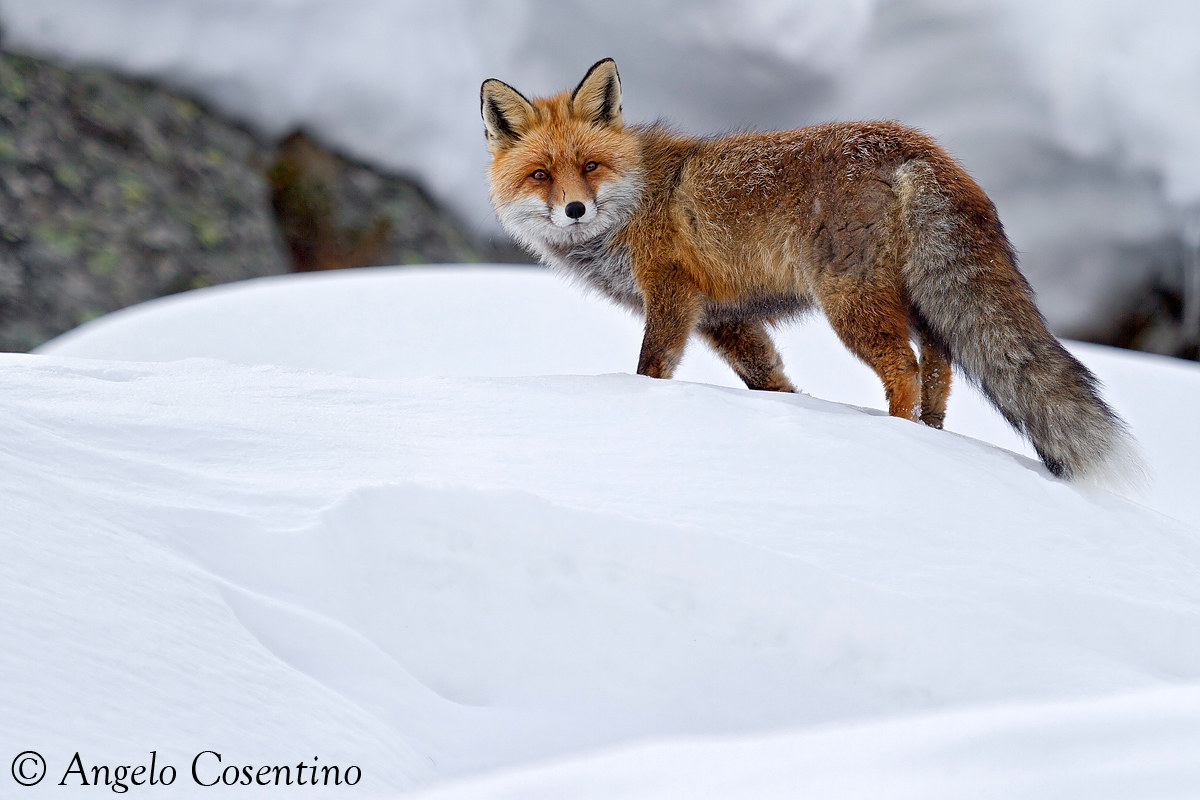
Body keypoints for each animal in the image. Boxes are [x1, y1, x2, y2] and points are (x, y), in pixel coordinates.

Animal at [480, 57, 1142, 483]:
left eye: (590, 166)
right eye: (541, 174)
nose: (574, 209)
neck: (641, 199)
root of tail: (921, 146)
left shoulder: (672, 295)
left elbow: (651, 369)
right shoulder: (725, 320)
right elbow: (769, 381)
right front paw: (791, 410)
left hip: (851, 304)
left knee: (905, 371)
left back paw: (897, 437)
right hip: (923, 302)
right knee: (940, 371)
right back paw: (931, 438)